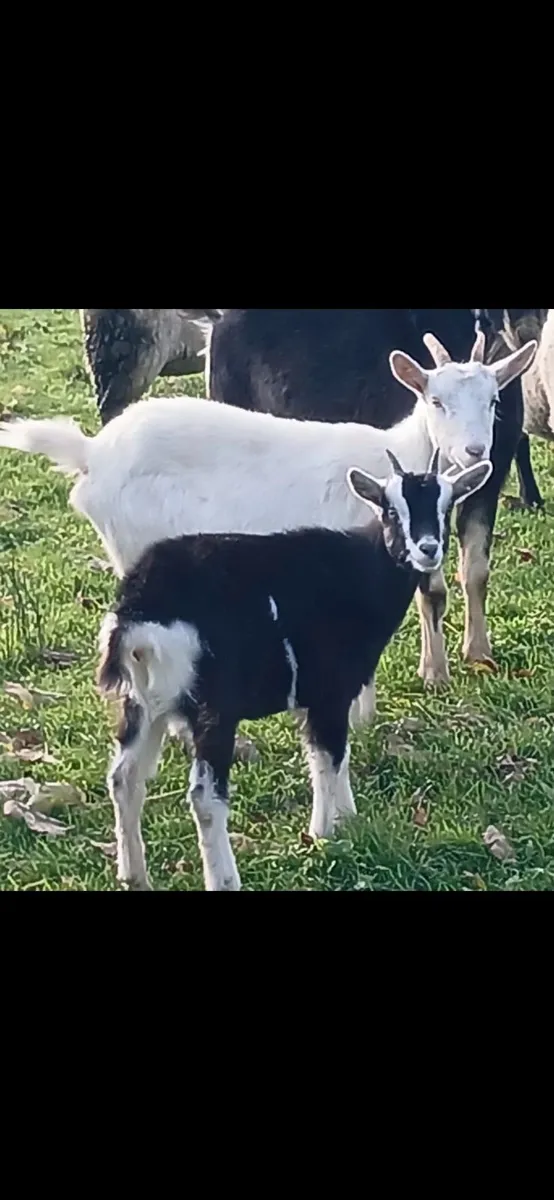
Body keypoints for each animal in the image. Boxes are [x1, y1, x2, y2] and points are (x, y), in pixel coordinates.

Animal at [0, 332, 535, 713]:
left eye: (493, 400)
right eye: (435, 401)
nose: (475, 451)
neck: (396, 456)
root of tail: (92, 452)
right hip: (136, 546)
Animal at [96, 451, 493, 891]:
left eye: (446, 505)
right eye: (391, 510)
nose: (428, 549)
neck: (362, 571)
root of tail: (139, 610)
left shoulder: (313, 699)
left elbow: (334, 753)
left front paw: (347, 816)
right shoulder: (329, 690)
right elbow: (327, 758)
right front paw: (324, 834)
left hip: (142, 705)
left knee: (124, 778)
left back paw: (133, 874)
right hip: (211, 706)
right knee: (204, 796)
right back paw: (224, 878)